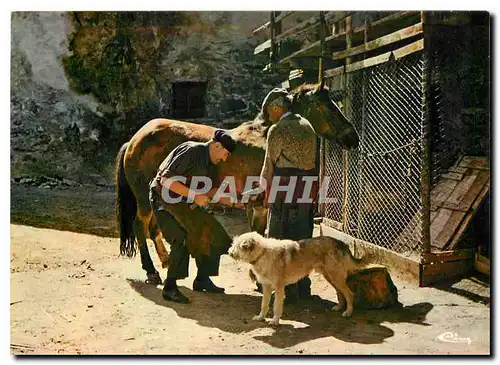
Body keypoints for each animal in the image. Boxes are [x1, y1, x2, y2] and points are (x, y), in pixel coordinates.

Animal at [115, 80, 360, 284]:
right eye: (325, 106)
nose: (353, 138)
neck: (266, 136)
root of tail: (134, 140)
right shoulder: (259, 205)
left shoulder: (258, 206)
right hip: (143, 200)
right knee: (140, 226)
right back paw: (151, 271)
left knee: (153, 227)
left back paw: (165, 261)